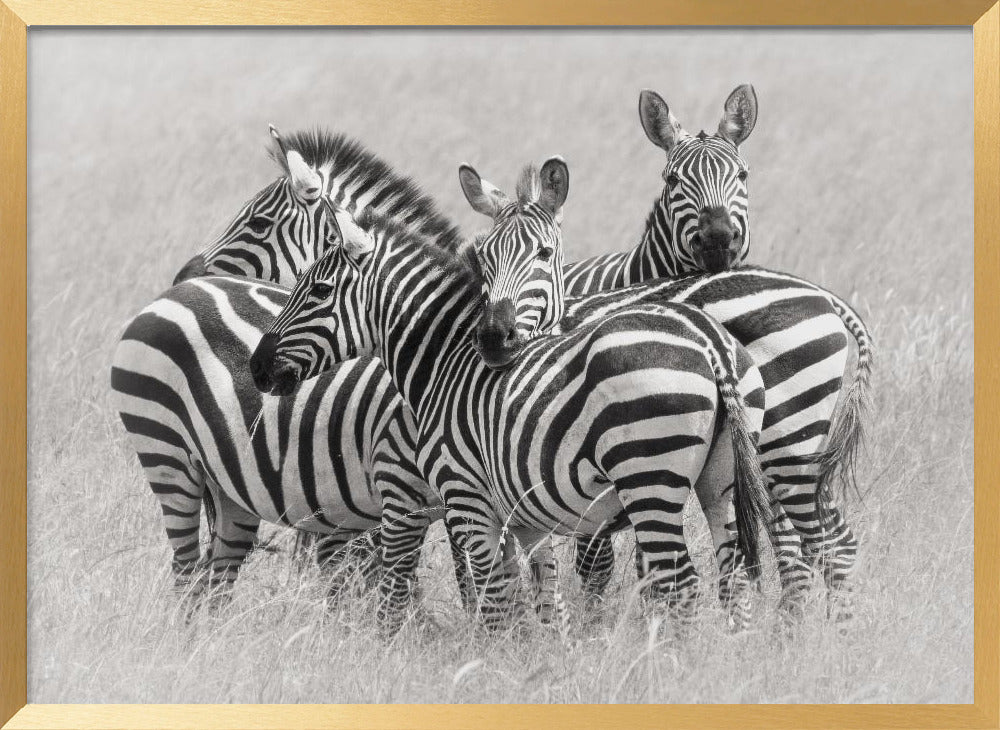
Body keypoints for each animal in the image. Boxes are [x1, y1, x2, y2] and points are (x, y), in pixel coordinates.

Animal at [248, 193, 773, 630]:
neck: (445, 362)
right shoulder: (524, 515)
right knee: (732, 580)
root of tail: (710, 344)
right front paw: (541, 665)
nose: (255, 367)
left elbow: (494, 601)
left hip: (649, 479)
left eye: (318, 290)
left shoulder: (467, 499)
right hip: (720, 484)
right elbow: (540, 600)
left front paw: (492, 665)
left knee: (680, 584)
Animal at [458, 88, 873, 615]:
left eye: (743, 175)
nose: (718, 239)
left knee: (820, 542)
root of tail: (825, 296)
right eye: (673, 179)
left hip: (786, 444)